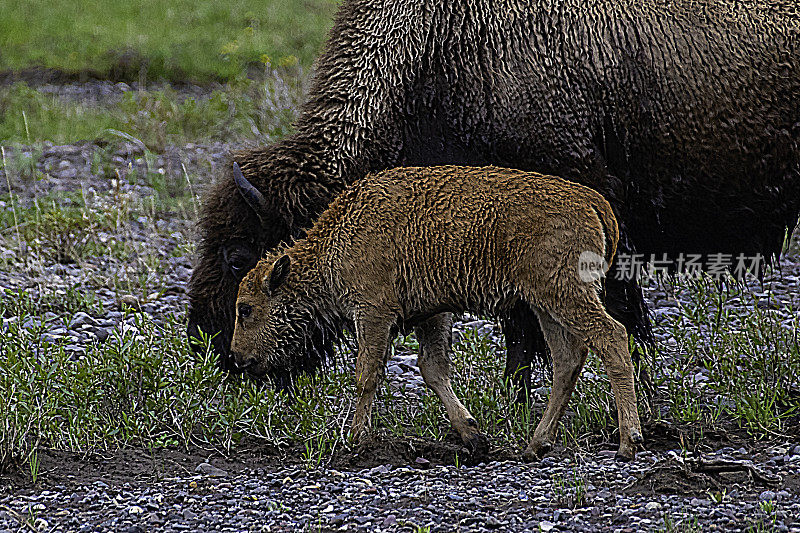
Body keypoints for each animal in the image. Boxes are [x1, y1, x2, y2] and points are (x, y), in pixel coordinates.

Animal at [230, 164, 644, 460]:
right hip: (545, 304)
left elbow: (367, 374)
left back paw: (629, 441)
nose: (238, 357)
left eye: (246, 309)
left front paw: (356, 438)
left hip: (565, 296)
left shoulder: (373, 312)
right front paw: (474, 436)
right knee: (567, 359)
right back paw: (536, 445)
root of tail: (594, 202)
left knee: (611, 338)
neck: (334, 240)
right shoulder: (431, 315)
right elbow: (433, 369)